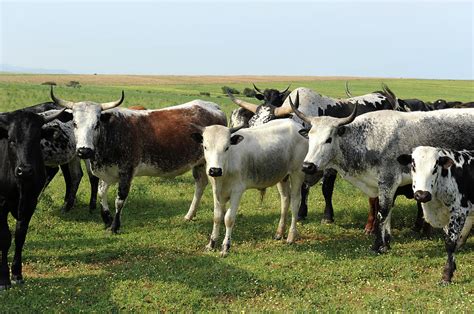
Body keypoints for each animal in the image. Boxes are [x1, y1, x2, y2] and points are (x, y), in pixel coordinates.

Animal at [0, 108, 64, 290]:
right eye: (12, 140)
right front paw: (4, 279)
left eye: (36, 140)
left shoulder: (30, 202)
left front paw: (17, 273)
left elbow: (20, 236)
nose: (25, 170)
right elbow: (5, 238)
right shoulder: (1, 203)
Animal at [51, 87, 228, 232]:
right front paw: (107, 219)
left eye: (96, 124)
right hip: (199, 163)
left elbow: (120, 199)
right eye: (74, 123)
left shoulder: (127, 171)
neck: (113, 133)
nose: (84, 150)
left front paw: (115, 226)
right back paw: (189, 215)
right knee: (200, 184)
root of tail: (214, 107)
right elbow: (101, 193)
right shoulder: (106, 172)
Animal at [191, 119, 310, 256]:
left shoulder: (237, 191)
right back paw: (279, 233)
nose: (215, 170)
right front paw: (211, 244)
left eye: (227, 147)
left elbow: (228, 219)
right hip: (282, 177)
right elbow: (217, 217)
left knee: (295, 202)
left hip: (297, 173)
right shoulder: (216, 191)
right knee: (285, 200)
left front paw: (225, 247)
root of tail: (294, 123)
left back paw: (291, 236)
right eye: (205, 146)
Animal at [288, 92, 474, 253]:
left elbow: (382, 211)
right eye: (310, 138)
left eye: (328, 139)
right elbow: (385, 210)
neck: (368, 138)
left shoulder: (388, 180)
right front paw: (386, 242)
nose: (308, 166)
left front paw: (378, 245)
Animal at [398, 146, 472, 284]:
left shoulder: (459, 212)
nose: (422, 195)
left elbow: (450, 243)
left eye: (435, 167)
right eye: (413, 165)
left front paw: (447, 275)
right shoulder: (445, 217)